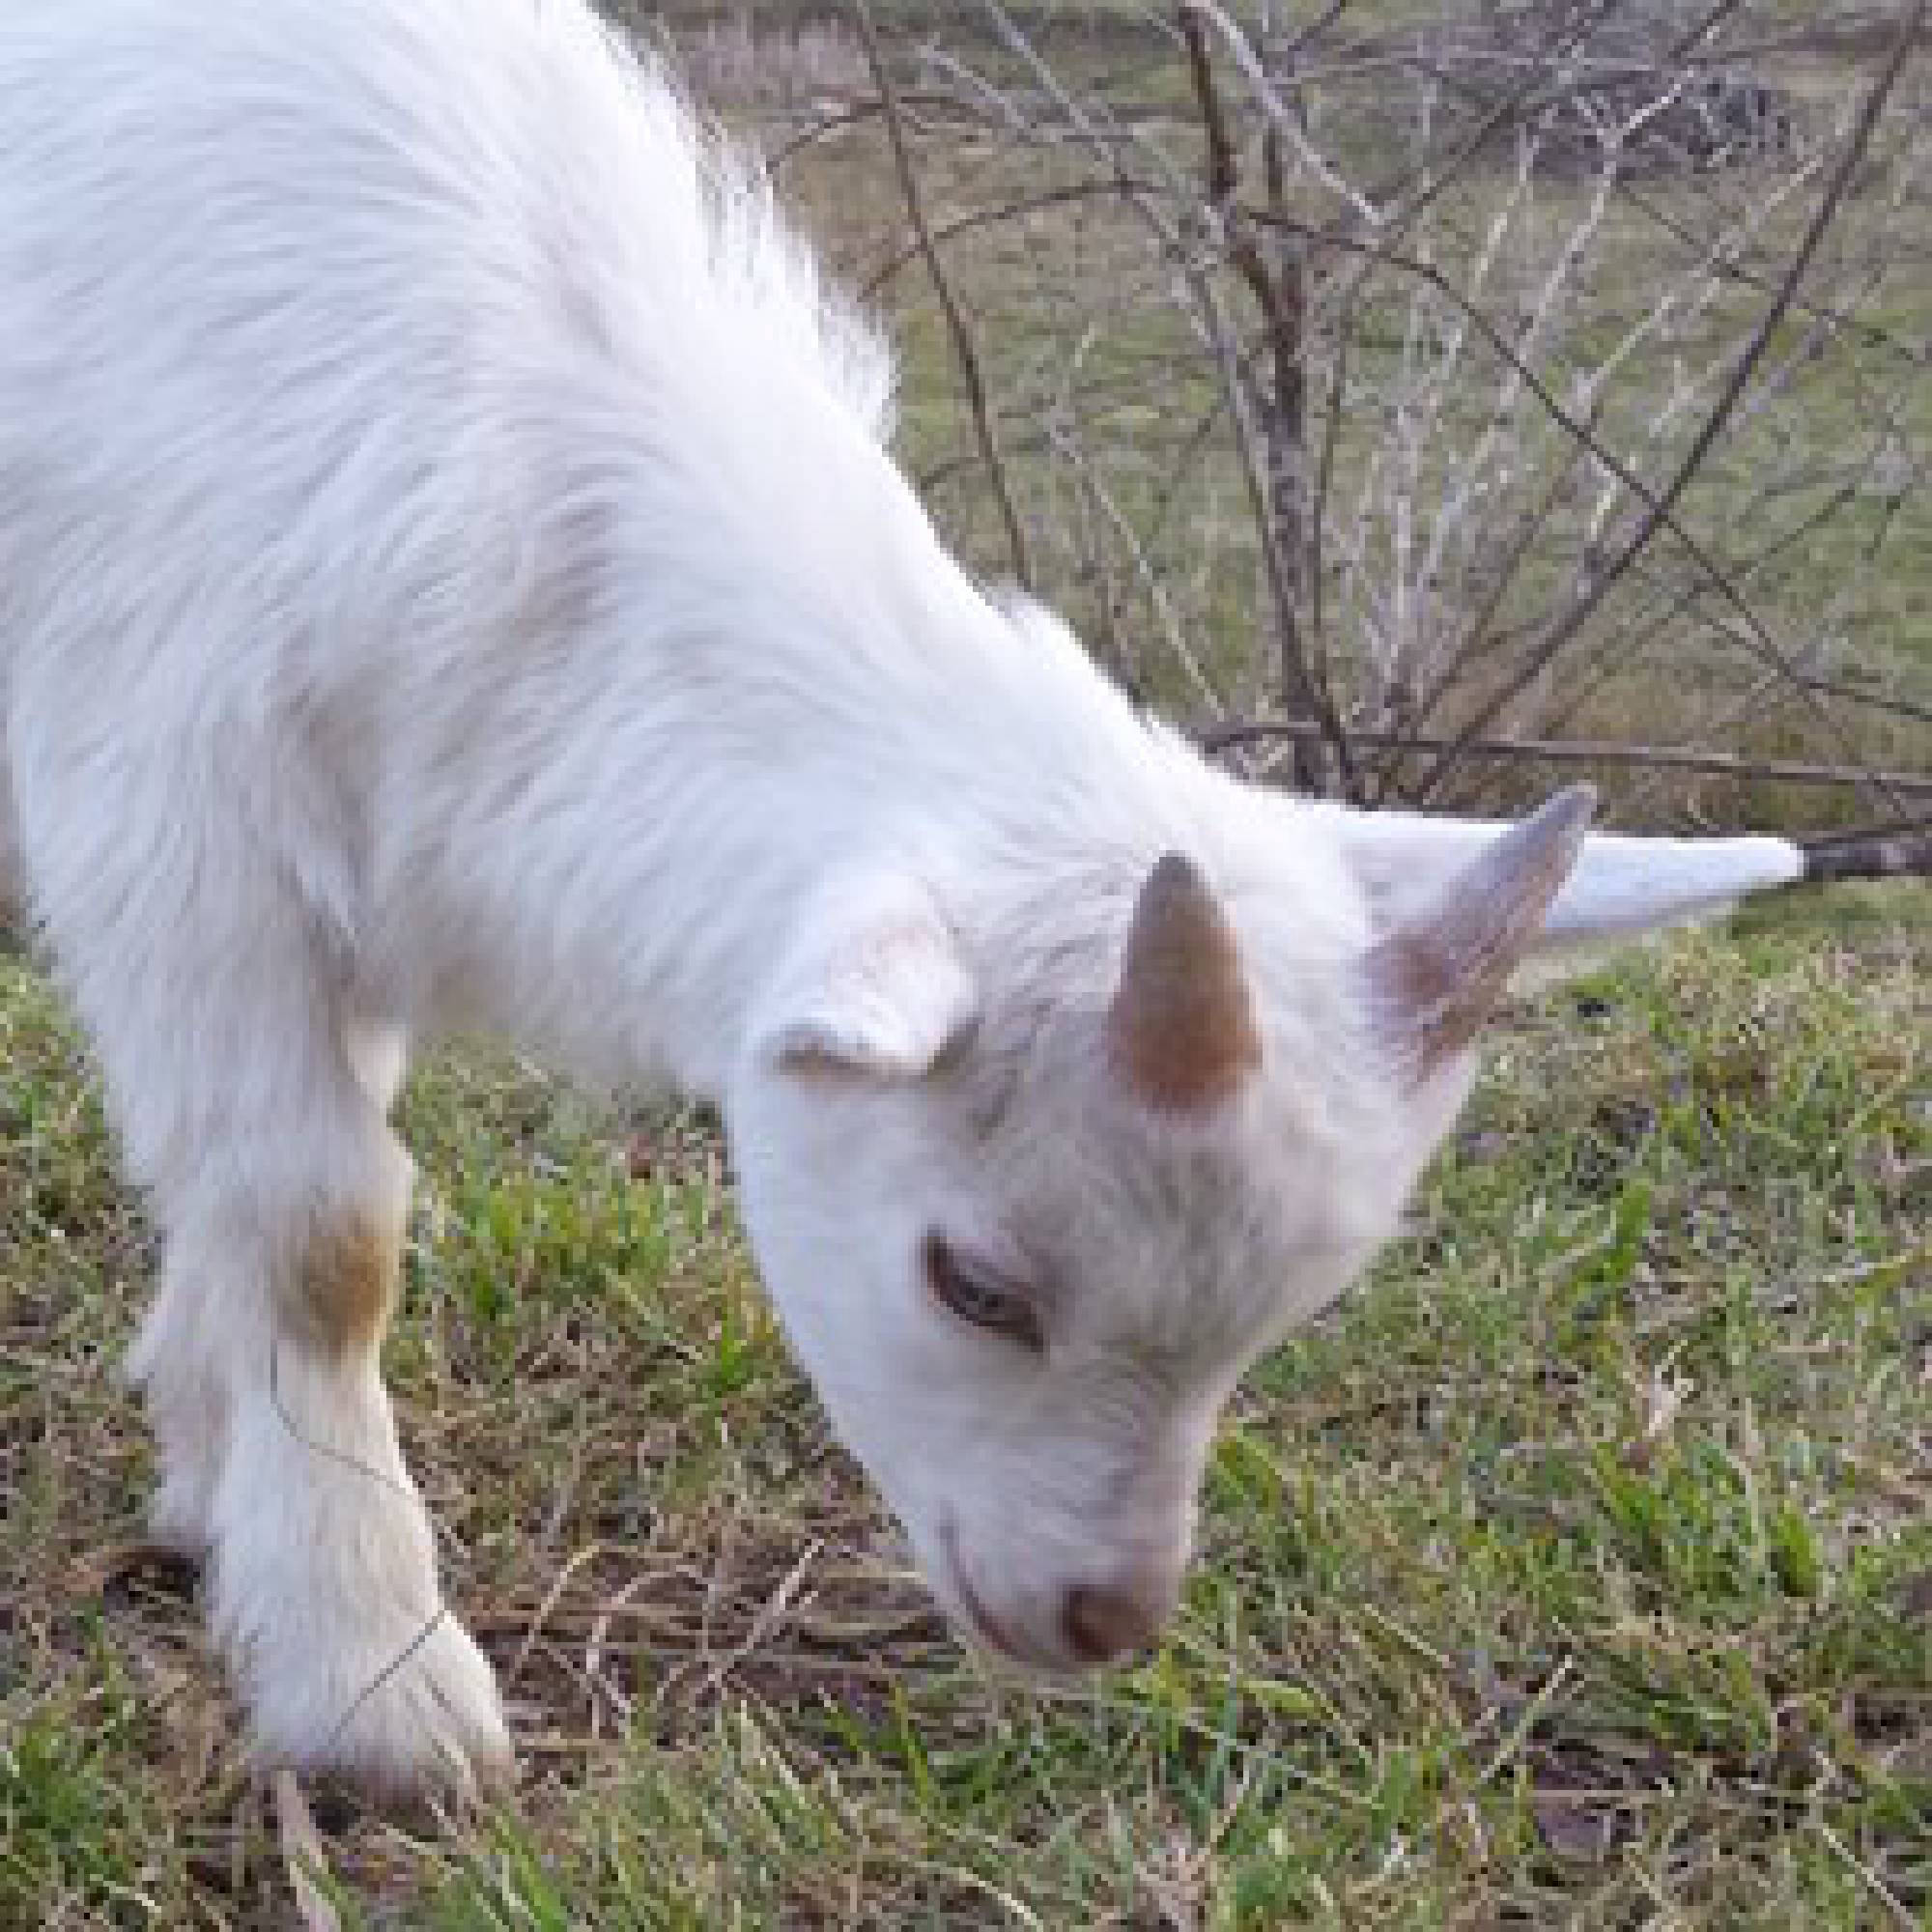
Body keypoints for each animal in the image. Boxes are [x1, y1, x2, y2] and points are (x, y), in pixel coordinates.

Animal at [0, 0, 1845, 1802]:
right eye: (974, 1282)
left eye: (1290, 1312)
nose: (1100, 1616)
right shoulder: (180, 819)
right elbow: (326, 1237)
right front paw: (377, 1688)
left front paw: (206, 1464)